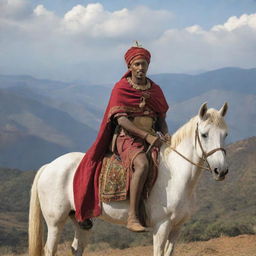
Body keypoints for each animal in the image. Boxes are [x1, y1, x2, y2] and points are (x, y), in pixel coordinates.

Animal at [29, 102, 229, 256]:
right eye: (204, 134)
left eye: (225, 134)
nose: (221, 171)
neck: (177, 174)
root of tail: (48, 166)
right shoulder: (161, 226)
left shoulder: (177, 227)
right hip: (55, 222)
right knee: (50, 250)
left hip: (81, 220)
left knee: (77, 248)